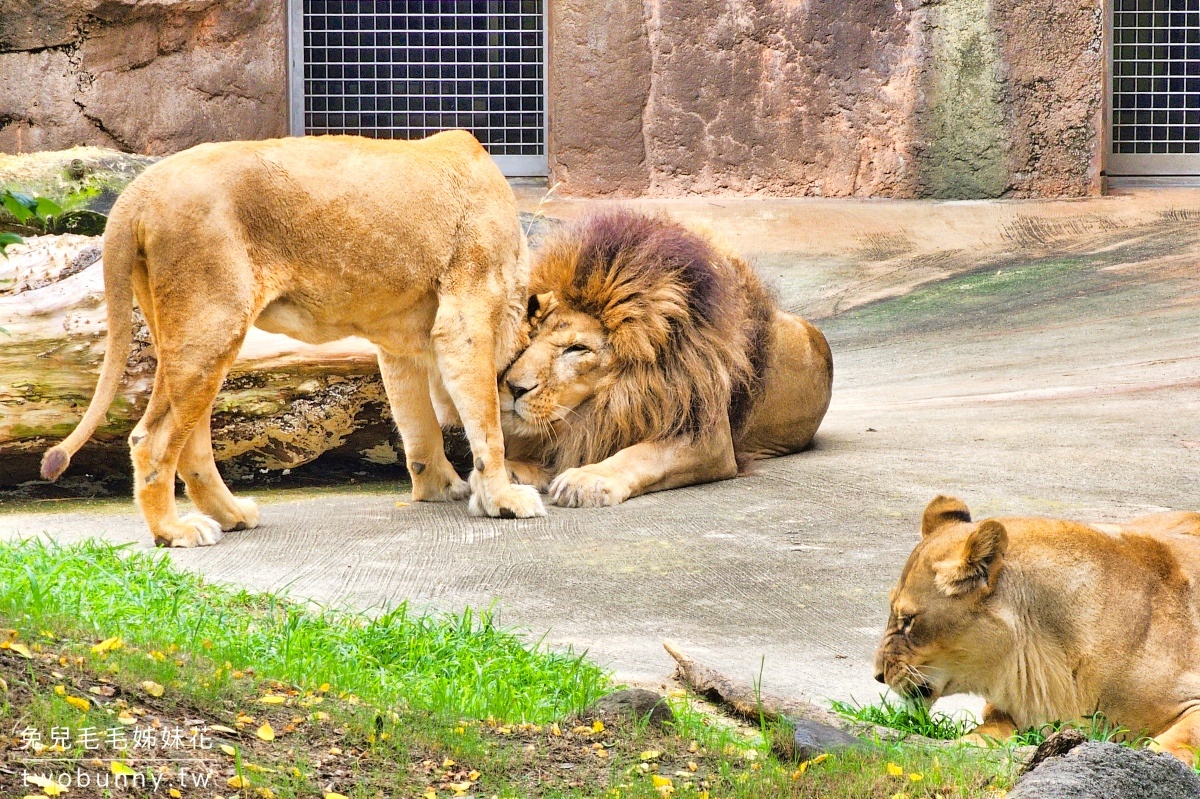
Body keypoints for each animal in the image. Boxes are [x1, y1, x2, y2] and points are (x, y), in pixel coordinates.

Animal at [501, 206, 830, 503]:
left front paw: (589, 479)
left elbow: (643, 454)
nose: (513, 388)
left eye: (578, 348)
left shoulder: (709, 439)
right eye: (531, 338)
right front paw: (510, 470)